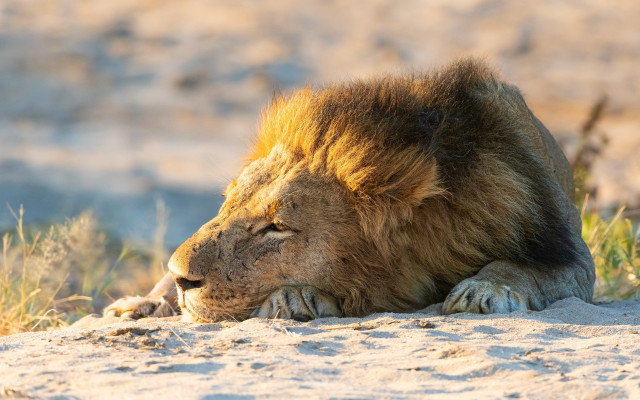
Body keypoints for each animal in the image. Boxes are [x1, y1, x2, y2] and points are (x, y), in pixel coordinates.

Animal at [105, 58, 595, 323]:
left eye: (276, 227)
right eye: (227, 204)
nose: (183, 277)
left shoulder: (575, 260)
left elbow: (524, 269)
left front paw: (484, 289)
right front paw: (294, 297)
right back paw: (139, 305)